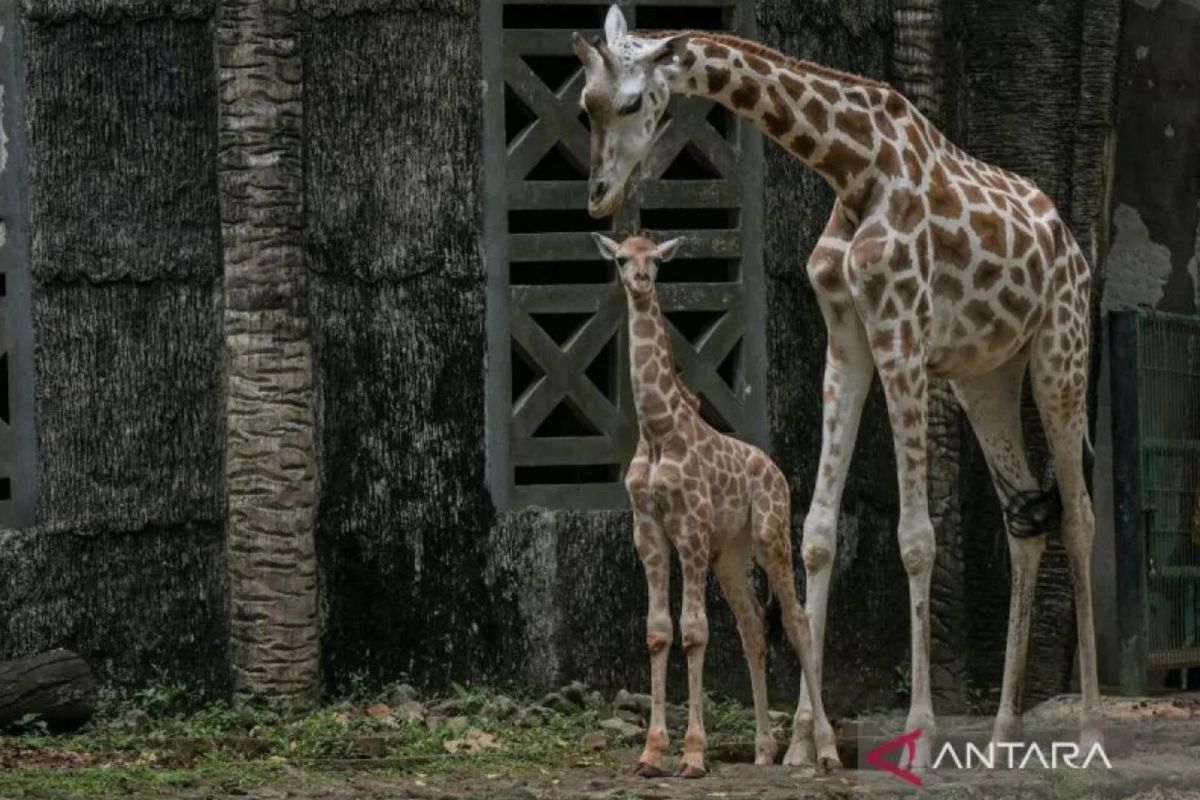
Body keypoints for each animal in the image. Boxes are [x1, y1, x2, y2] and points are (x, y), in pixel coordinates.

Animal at [592, 232, 844, 782]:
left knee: (798, 621)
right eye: (620, 259)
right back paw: (764, 750)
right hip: (730, 554)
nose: (639, 281)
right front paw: (651, 754)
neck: (658, 430)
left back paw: (825, 751)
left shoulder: (690, 528)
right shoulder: (649, 533)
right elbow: (658, 633)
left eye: (656, 260)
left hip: (770, 533)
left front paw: (692, 755)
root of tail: (775, 471)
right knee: (753, 627)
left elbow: (693, 632)